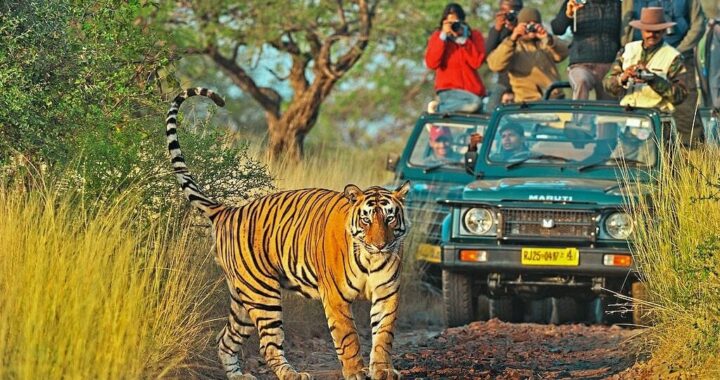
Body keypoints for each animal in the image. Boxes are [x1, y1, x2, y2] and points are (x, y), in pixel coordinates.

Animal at [165, 87, 410, 378]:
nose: (381, 245)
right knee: (268, 346)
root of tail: (228, 211)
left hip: (242, 298)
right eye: (366, 221)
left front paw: (383, 371)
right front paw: (356, 372)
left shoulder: (387, 294)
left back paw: (238, 375)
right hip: (263, 294)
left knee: (225, 339)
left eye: (390, 218)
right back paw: (292, 373)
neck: (370, 258)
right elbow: (348, 338)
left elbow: (383, 335)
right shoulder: (336, 298)